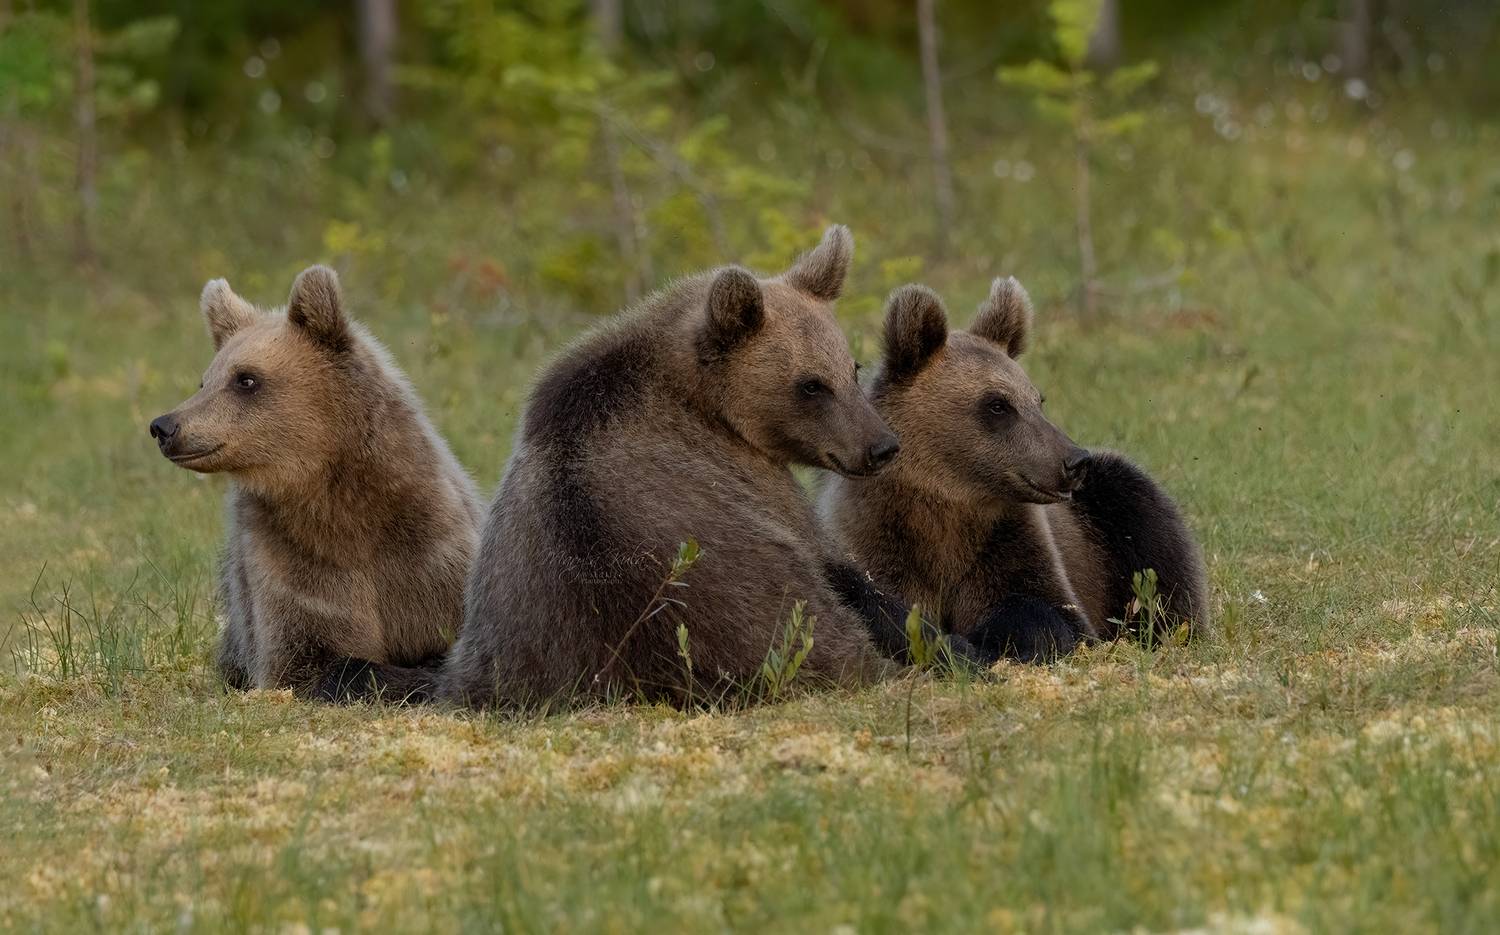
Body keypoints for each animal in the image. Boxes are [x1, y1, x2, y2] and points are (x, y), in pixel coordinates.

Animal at [149, 266, 482, 702]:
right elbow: (307, 655)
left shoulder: (430, 555)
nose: (164, 426)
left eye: (246, 379)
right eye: (205, 381)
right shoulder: (291, 563)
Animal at [440, 226, 987, 710]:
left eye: (850, 369)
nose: (881, 447)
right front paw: (953, 645)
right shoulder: (757, 484)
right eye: (811, 385)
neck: (705, 400)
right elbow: (842, 568)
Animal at [820, 277, 1209, 662]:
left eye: (1038, 400)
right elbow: (882, 603)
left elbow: (1047, 609)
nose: (1074, 460)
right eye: (997, 405)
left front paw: (992, 639)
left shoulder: (1011, 540)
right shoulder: (878, 537)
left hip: (1108, 519)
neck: (949, 502)